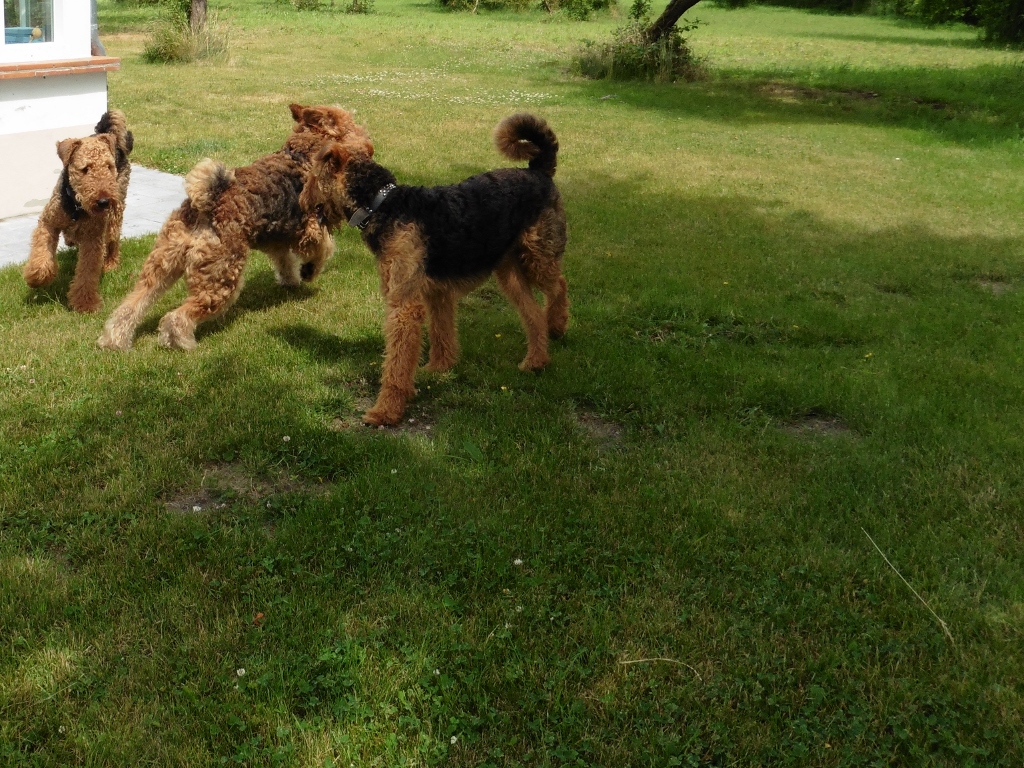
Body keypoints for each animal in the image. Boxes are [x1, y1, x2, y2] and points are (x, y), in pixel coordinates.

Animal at [23, 110, 133, 313]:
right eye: (85, 169)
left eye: (109, 166)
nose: (104, 201)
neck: (77, 207)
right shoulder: (48, 222)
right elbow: (42, 252)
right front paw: (37, 277)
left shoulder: (93, 238)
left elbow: (87, 273)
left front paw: (85, 303)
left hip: (114, 217)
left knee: (114, 242)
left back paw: (110, 264)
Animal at [97, 104, 372, 352]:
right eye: (353, 125)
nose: (370, 144)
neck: (301, 154)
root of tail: (205, 204)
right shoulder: (311, 230)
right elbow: (324, 249)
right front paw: (309, 272)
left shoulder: (276, 241)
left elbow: (285, 262)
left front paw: (291, 281)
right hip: (221, 279)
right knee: (179, 316)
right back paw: (180, 342)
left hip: (160, 266)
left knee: (130, 307)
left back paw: (114, 342)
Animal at [300, 112, 569, 427]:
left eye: (312, 177)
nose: (300, 202)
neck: (383, 205)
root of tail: (539, 171)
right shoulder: (436, 294)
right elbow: (441, 335)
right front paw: (438, 369)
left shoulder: (403, 305)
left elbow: (397, 360)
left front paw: (386, 411)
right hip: (509, 271)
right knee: (533, 313)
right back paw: (535, 361)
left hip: (538, 257)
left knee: (559, 287)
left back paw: (557, 326)